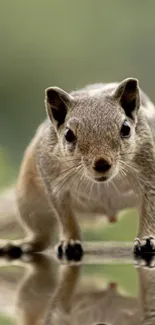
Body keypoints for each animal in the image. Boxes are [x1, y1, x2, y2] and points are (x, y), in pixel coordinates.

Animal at [1, 77, 155, 260]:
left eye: (126, 129)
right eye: (68, 135)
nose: (102, 163)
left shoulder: (148, 174)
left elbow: (149, 209)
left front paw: (146, 239)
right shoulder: (55, 184)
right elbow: (65, 216)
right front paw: (70, 241)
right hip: (29, 203)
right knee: (41, 237)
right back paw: (20, 245)